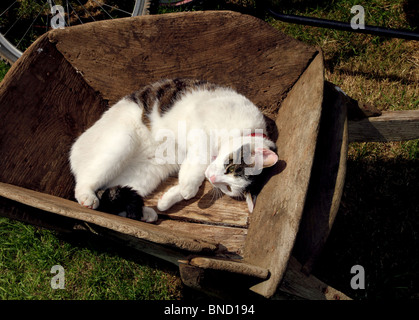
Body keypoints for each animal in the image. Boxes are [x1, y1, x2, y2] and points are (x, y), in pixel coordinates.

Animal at [69, 78, 278, 222]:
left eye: (228, 188)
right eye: (231, 167)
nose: (212, 179)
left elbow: (192, 173)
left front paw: (169, 199)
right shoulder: (199, 130)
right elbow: (199, 161)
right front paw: (188, 189)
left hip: (145, 174)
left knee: (113, 193)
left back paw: (146, 213)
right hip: (121, 142)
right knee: (85, 181)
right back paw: (87, 196)